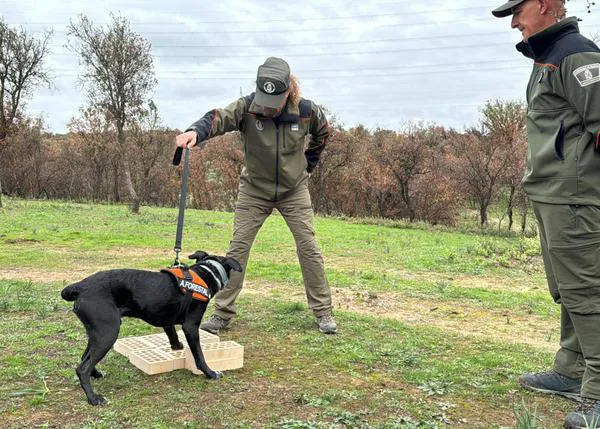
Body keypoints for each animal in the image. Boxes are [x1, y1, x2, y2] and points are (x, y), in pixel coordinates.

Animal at [59, 249, 240, 402]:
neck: (206, 272)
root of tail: (81, 287)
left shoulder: (167, 321)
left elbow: (173, 335)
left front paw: (177, 347)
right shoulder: (191, 326)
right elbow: (199, 356)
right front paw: (210, 373)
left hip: (97, 332)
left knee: (85, 357)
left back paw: (96, 374)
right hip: (108, 333)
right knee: (83, 368)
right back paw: (93, 398)